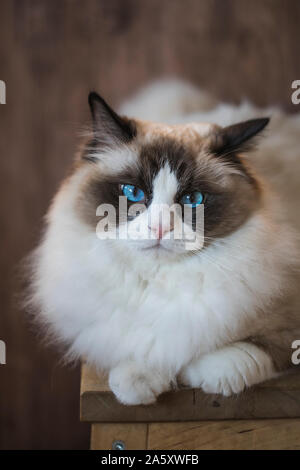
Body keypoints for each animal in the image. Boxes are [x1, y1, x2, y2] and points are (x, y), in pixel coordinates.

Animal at [28, 80, 300, 404]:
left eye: (193, 199)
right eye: (132, 192)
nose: (160, 227)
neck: (159, 281)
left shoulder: (286, 322)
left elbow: (240, 354)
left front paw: (207, 375)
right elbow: (145, 353)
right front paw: (137, 382)